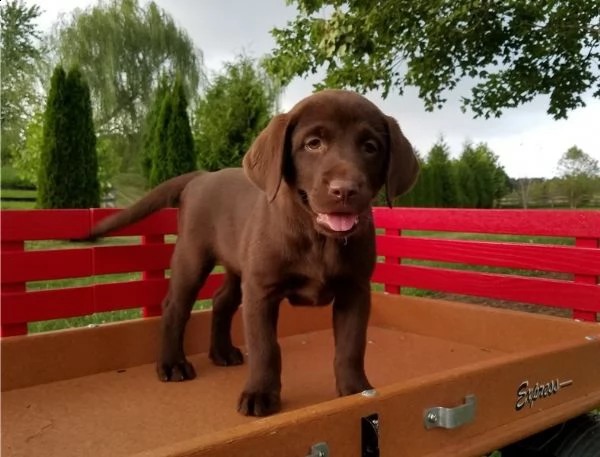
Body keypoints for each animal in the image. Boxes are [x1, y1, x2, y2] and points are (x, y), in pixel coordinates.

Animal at [86, 87, 420, 416]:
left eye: (370, 147)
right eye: (313, 144)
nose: (345, 190)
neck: (318, 238)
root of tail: (201, 176)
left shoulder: (355, 290)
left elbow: (351, 346)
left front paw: (356, 392)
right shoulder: (261, 290)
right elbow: (266, 348)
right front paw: (260, 394)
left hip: (238, 267)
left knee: (221, 301)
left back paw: (221, 353)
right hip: (193, 256)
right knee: (175, 306)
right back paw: (172, 364)